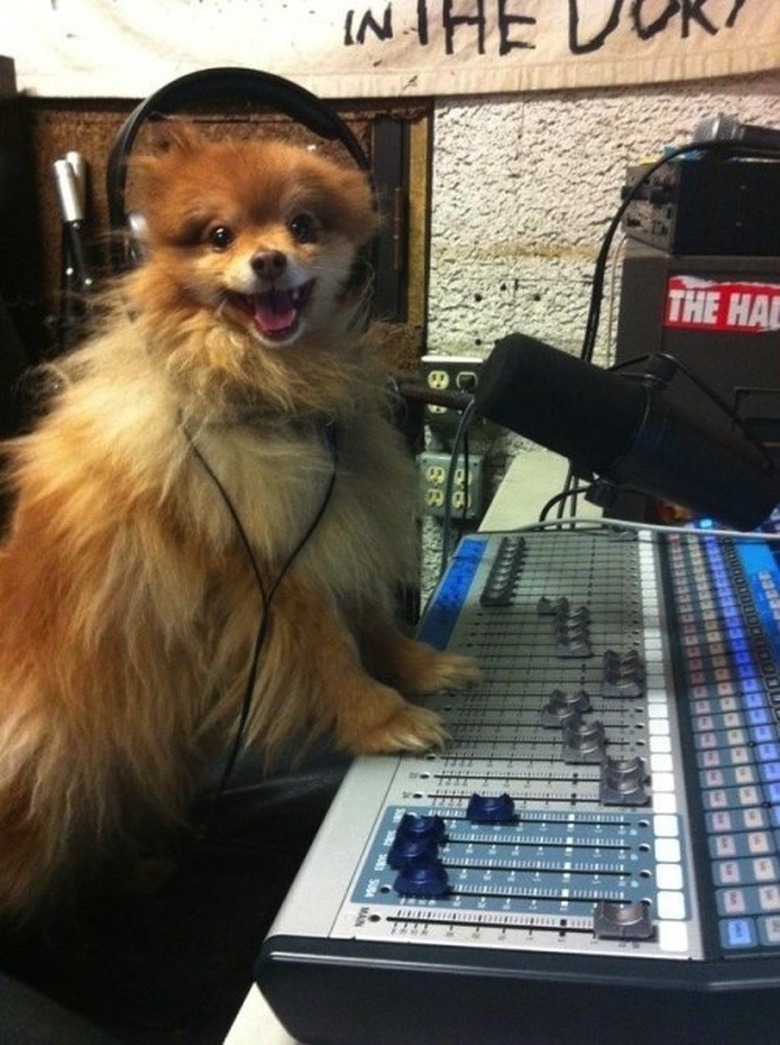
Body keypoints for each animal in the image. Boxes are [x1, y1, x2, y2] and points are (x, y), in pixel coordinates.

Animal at [0, 126, 474, 919]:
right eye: (220, 235)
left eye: (302, 225)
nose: (269, 259)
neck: (266, 393)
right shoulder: (272, 575)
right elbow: (333, 652)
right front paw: (382, 718)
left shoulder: (332, 525)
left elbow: (373, 621)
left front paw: (421, 666)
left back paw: (135, 867)